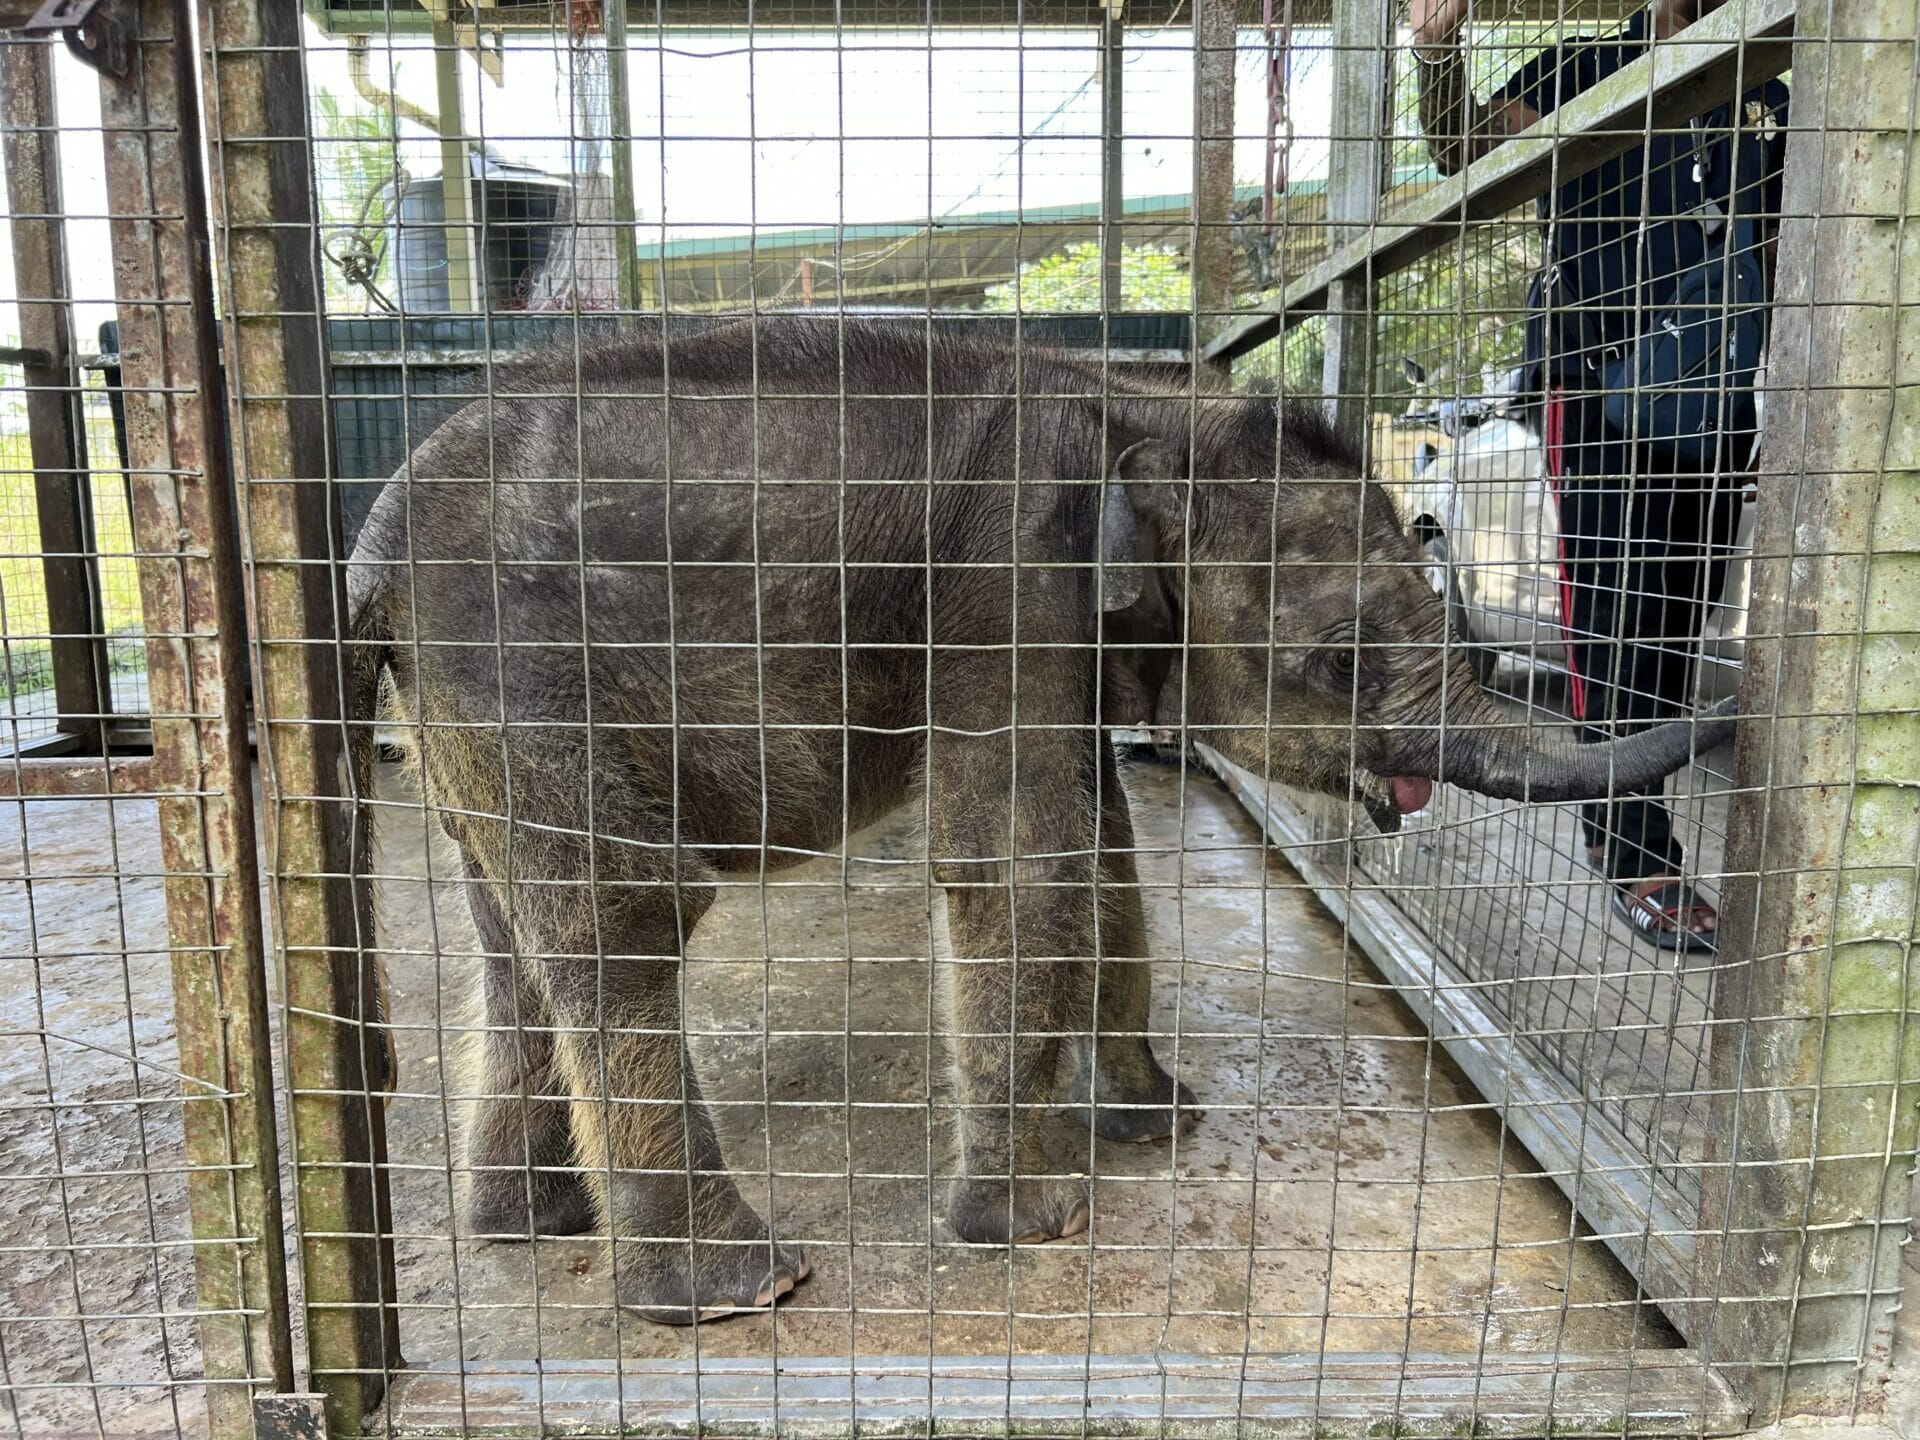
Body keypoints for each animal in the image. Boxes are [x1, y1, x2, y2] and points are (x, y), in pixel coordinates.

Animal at [349, 318, 1743, 1328]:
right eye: (1341, 662)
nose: (1734, 706)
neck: (1140, 404)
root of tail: (369, 550)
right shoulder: (1006, 571)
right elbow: (1021, 862)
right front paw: (1033, 1226)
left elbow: (1107, 848)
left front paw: (1159, 1122)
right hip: (517, 660)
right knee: (626, 916)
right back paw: (739, 1290)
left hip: (467, 710)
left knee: (511, 932)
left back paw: (530, 1225)